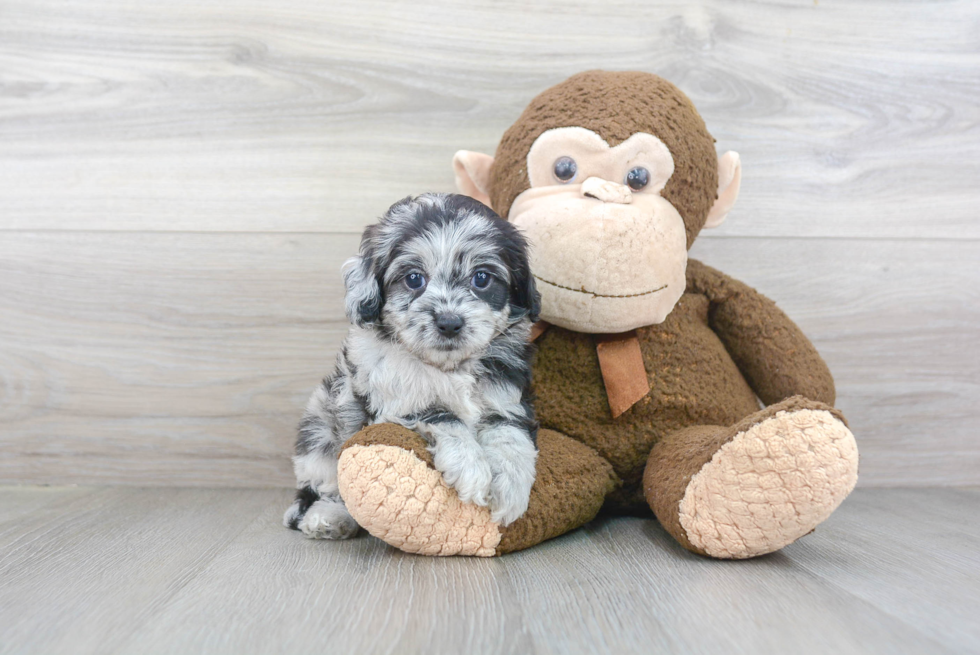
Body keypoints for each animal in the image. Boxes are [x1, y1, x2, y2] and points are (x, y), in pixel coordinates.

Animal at [284, 193, 544, 540]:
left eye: (481, 278)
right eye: (414, 279)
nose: (449, 323)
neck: (449, 367)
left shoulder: (507, 398)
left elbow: (509, 434)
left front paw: (510, 487)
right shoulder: (395, 399)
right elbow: (442, 414)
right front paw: (470, 467)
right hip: (320, 433)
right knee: (324, 487)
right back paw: (329, 517)